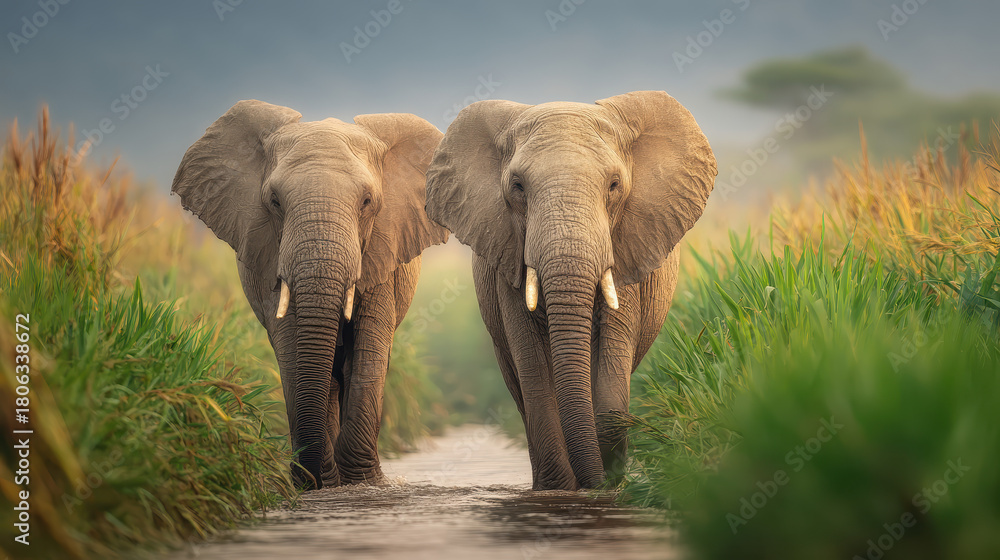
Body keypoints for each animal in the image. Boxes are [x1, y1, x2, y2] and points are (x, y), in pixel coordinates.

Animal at [172, 100, 448, 489]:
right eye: (274, 201)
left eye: (367, 202)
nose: (309, 476)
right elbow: (290, 344)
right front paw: (320, 483)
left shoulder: (384, 248)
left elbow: (369, 348)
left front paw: (364, 482)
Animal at [425, 91, 717, 490]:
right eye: (517, 186)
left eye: (614, 185)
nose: (597, 484)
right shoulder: (508, 261)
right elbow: (534, 370)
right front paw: (560, 489)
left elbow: (611, 367)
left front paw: (607, 478)